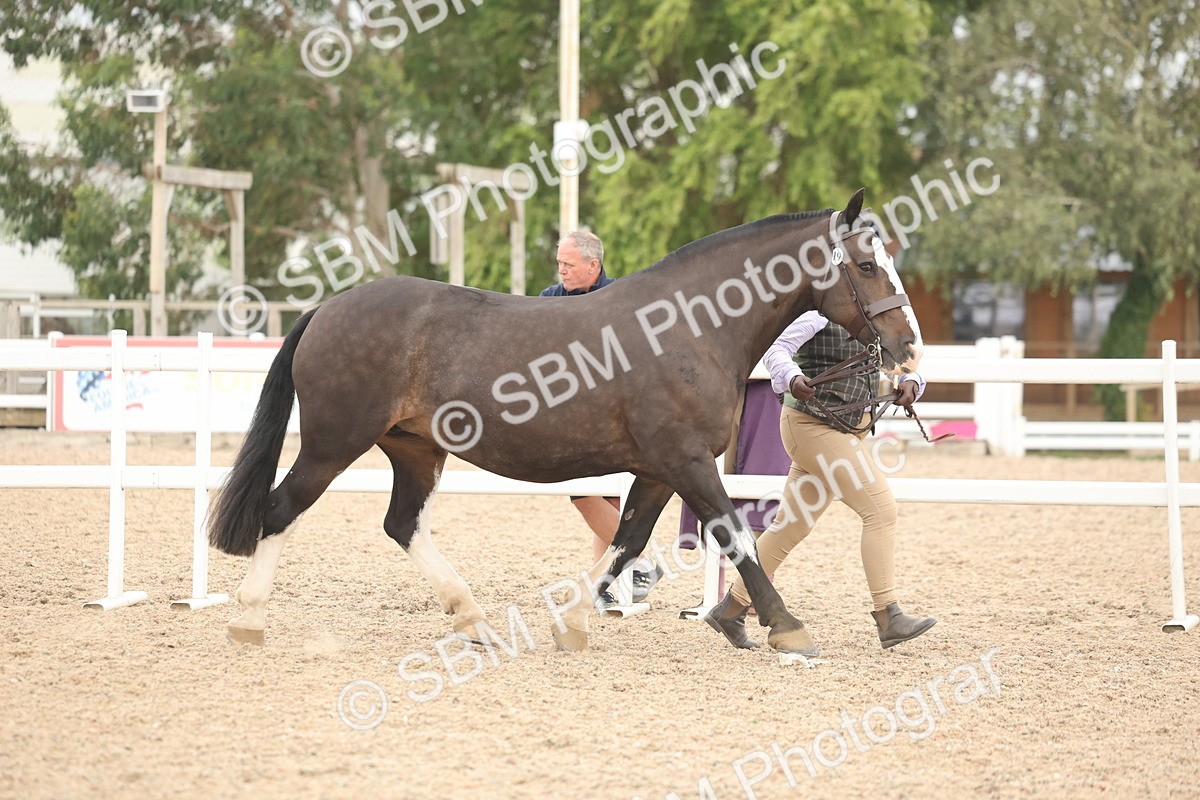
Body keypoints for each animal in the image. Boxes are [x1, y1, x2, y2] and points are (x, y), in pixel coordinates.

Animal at [208, 188, 923, 652]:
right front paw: (786, 626)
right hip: (333, 444)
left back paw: (475, 623)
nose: (908, 346)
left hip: (414, 449)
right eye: (866, 265)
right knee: (281, 509)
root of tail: (328, 308)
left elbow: (628, 541)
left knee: (402, 524)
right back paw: (248, 621)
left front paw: (576, 623)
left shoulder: (659, 469)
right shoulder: (688, 462)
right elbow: (736, 537)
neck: (690, 326)